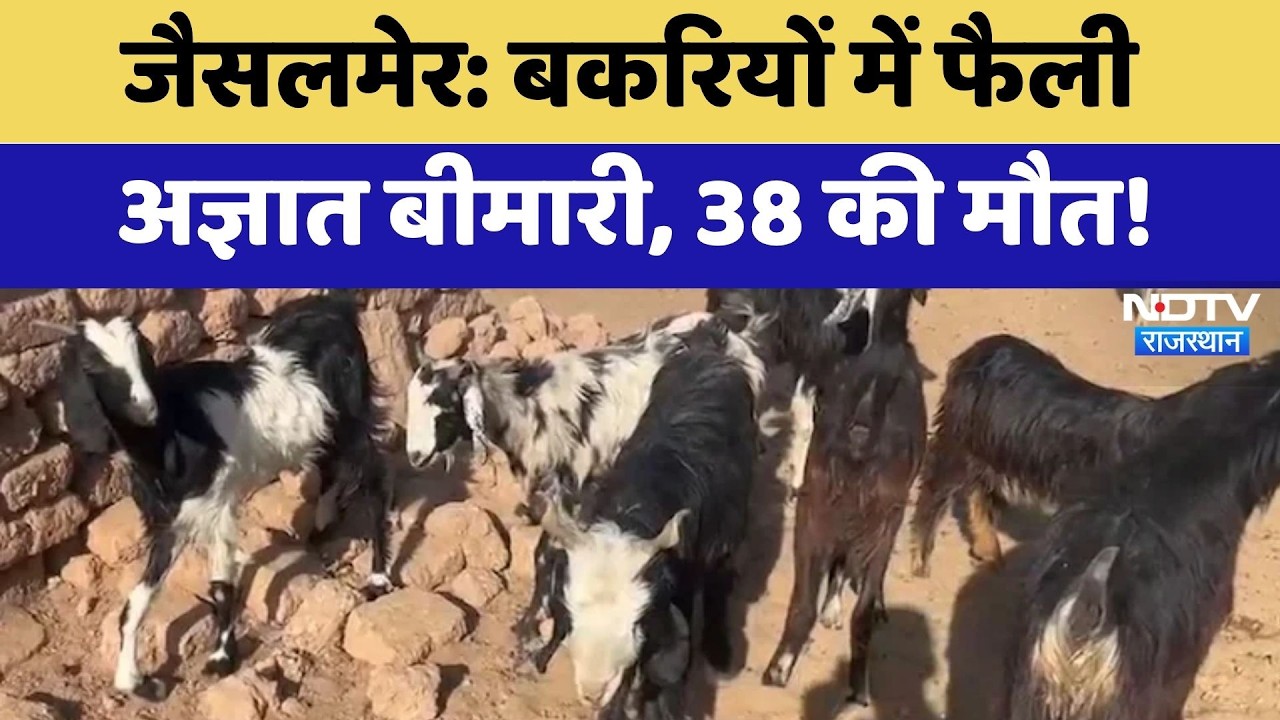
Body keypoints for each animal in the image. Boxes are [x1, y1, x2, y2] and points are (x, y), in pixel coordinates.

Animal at [47, 294, 392, 700]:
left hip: (352, 418)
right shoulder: (169, 519)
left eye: (142, 352)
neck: (167, 435)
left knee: (376, 479)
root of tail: (334, 307)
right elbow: (139, 599)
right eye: (92, 365)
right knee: (330, 467)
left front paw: (221, 659)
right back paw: (323, 525)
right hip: (322, 428)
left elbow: (221, 586)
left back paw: (378, 577)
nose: (147, 408)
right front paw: (130, 678)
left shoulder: (218, 503)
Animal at [760, 289, 928, 709]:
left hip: (812, 514)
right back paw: (859, 686)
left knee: (803, 602)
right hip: (880, 522)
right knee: (862, 614)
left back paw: (779, 668)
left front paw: (830, 609)